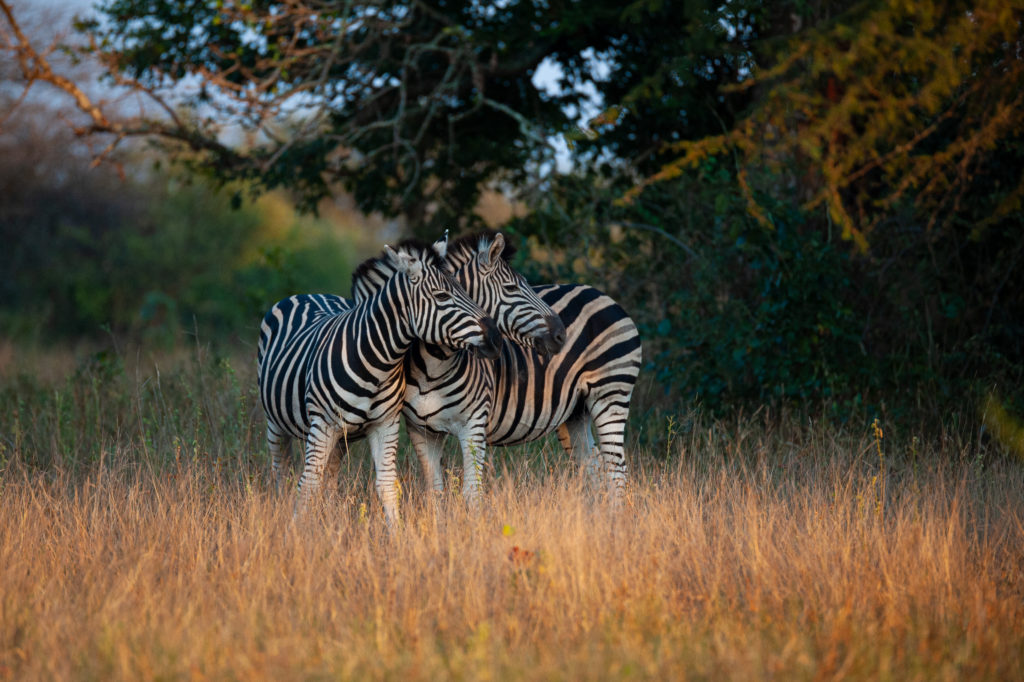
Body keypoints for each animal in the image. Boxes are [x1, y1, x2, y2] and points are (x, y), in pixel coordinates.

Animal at [258, 238, 501, 520]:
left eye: (464, 291)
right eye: (442, 296)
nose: (496, 337)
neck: (376, 366)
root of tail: (310, 294)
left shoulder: (385, 423)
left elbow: (386, 485)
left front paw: (397, 531)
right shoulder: (322, 424)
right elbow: (308, 485)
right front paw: (296, 529)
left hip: (340, 437)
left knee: (329, 477)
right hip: (276, 422)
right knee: (281, 470)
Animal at [354, 231, 638, 501]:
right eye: (511, 288)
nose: (561, 335)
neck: (432, 369)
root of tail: (601, 294)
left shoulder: (474, 425)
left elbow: (472, 493)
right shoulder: (421, 431)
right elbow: (435, 491)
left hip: (611, 395)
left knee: (617, 472)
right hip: (576, 412)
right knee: (596, 467)